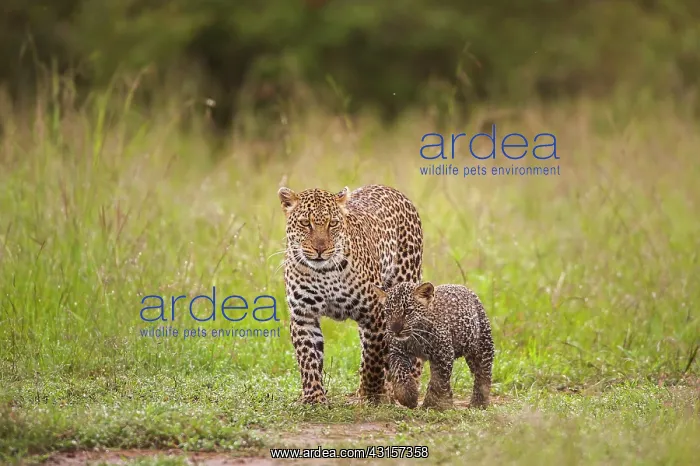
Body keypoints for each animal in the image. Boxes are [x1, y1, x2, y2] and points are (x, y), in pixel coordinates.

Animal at [277, 184, 425, 404]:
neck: (324, 272)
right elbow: (308, 358)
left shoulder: (374, 312)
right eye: (305, 223)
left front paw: (371, 393)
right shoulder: (303, 315)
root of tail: (391, 188)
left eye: (333, 224)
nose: (320, 249)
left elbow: (373, 357)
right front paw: (314, 398)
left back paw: (403, 385)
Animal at [374, 281, 495, 410]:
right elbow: (400, 372)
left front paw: (431, 405)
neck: (416, 337)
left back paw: (479, 403)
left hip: (482, 345)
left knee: (483, 373)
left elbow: (438, 381)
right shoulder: (397, 353)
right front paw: (408, 396)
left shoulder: (443, 354)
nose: (395, 330)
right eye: (388, 312)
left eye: (408, 311)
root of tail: (464, 288)